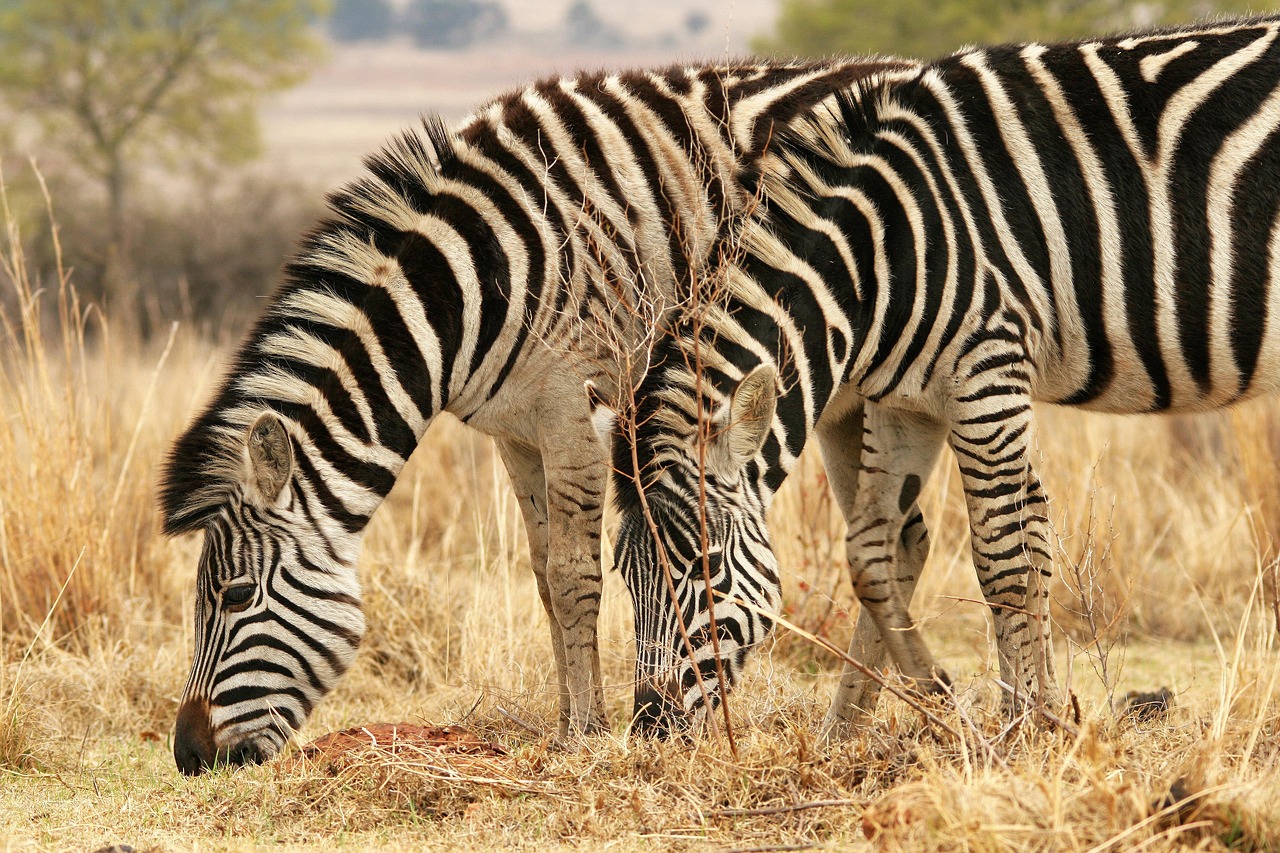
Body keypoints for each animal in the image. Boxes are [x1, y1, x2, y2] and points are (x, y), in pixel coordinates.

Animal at [158, 58, 914, 774]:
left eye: (235, 595)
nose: (189, 757)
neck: (475, 282)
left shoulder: (574, 407)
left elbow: (577, 577)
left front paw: (587, 734)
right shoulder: (514, 430)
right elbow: (545, 575)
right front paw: (565, 725)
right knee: (903, 539)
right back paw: (859, 723)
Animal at [600, 15, 1280, 739]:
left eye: (702, 565)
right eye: (624, 575)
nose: (650, 725)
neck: (877, 255)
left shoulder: (988, 374)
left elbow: (1006, 560)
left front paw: (1022, 727)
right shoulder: (908, 402)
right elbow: (872, 553)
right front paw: (941, 695)